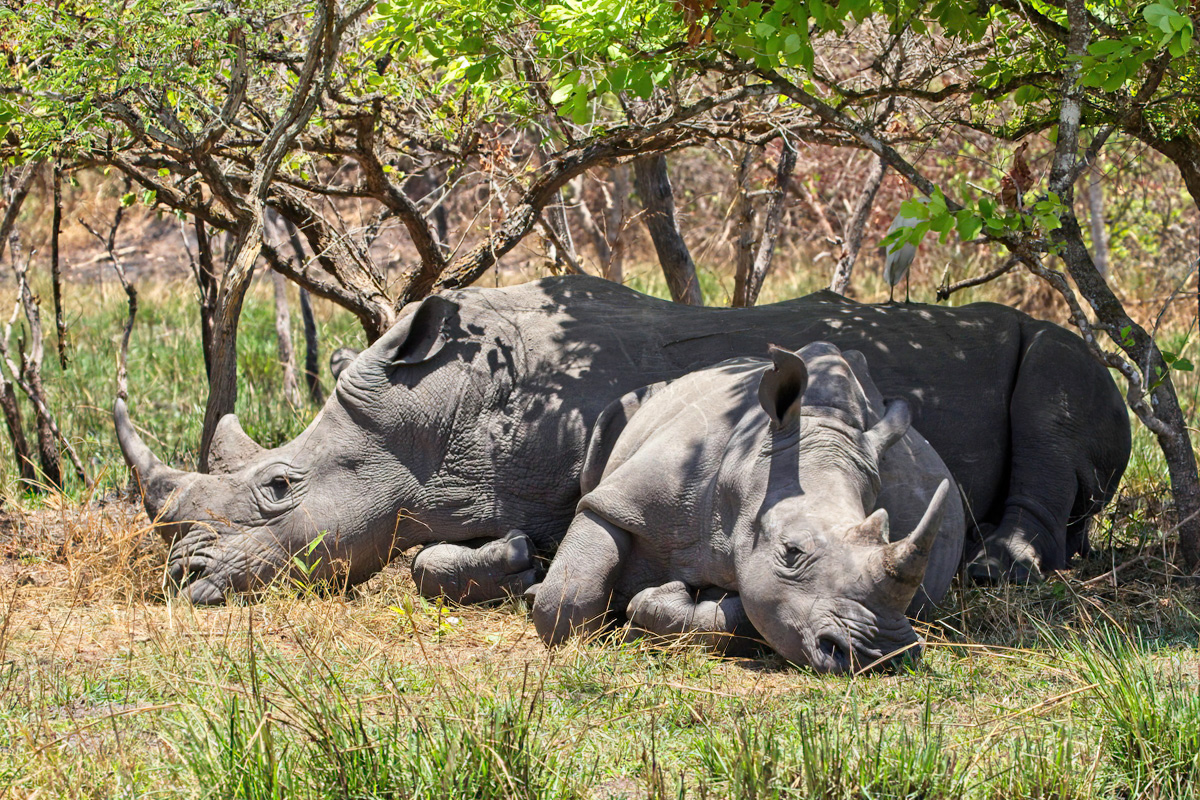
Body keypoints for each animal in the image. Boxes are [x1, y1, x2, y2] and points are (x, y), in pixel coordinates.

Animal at [110, 275, 1123, 606]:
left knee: (1060, 373)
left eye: (279, 488)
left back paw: (1000, 568)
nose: (181, 577)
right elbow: (424, 555)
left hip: (1069, 352)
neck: (436, 418)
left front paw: (517, 560)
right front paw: (500, 559)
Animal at [535, 340, 964, 671]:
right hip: (637, 403)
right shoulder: (624, 498)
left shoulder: (767, 584)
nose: (879, 655)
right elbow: (564, 603)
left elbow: (749, 616)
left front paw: (645, 614)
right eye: (791, 551)